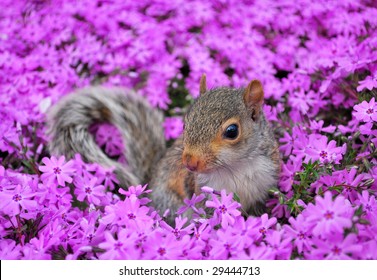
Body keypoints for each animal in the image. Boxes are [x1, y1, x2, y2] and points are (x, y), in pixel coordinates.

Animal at [46, 75, 280, 224]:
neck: (236, 167)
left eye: (232, 131)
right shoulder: (201, 193)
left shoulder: (264, 184)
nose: (189, 163)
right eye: (185, 124)